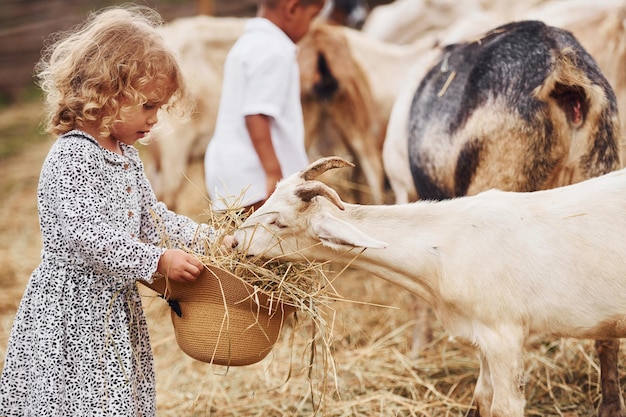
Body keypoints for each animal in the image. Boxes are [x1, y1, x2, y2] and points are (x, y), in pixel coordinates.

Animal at [230, 156, 626, 416]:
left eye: (280, 223)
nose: (232, 242)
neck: (447, 243)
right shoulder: (483, 338)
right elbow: (483, 396)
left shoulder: (504, 335)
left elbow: (505, 405)